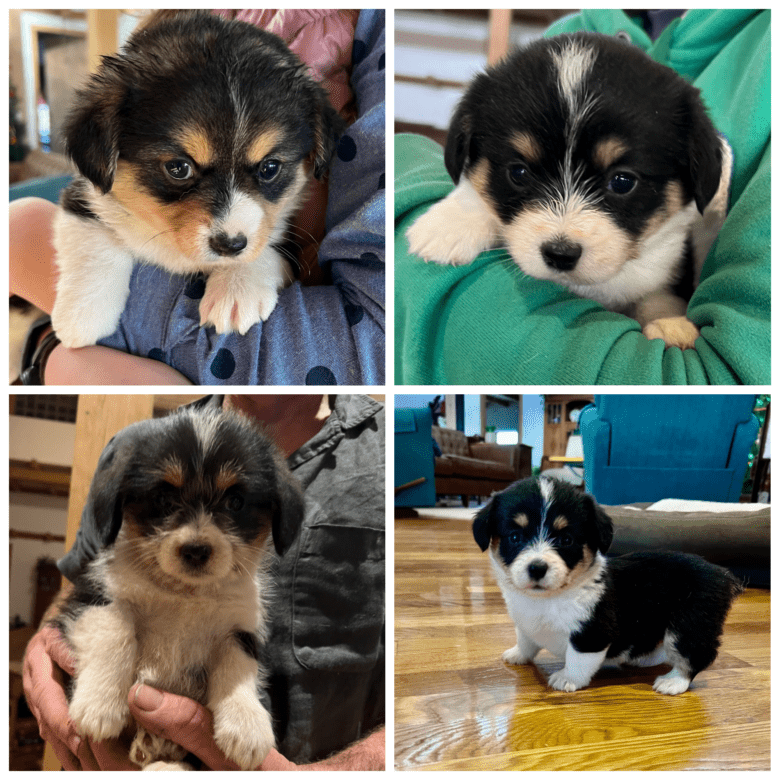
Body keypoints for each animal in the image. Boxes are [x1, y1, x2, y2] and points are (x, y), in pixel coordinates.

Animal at [49, 10, 342, 348]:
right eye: (178, 168)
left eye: (270, 168)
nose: (229, 245)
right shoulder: (83, 195)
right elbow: (94, 242)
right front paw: (81, 316)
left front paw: (237, 289)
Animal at [49, 396, 304, 768]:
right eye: (164, 499)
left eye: (236, 501)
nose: (196, 550)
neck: (185, 593)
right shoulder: (91, 598)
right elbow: (116, 631)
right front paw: (99, 706)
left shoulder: (239, 629)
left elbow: (238, 668)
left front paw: (247, 725)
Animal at [408, 32, 732, 350]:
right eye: (518, 172)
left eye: (623, 181)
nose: (560, 255)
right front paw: (448, 226)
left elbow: (656, 294)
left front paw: (672, 325)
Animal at [472, 476, 748, 696]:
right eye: (515, 537)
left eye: (566, 539)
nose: (537, 568)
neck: (548, 599)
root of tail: (724, 575)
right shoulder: (525, 624)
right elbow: (525, 640)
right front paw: (517, 655)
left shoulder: (592, 633)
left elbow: (578, 659)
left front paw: (567, 679)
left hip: (688, 626)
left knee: (696, 655)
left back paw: (674, 682)